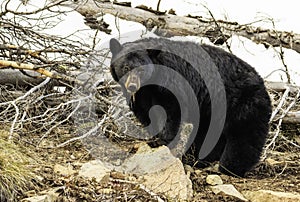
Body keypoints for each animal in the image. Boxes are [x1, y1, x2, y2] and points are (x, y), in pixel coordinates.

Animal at [108, 36, 272, 177]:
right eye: (125, 67)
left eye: (142, 69)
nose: (132, 86)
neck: (151, 84)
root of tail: (262, 83)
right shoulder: (144, 95)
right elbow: (147, 113)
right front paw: (154, 137)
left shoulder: (172, 84)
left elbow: (171, 111)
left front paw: (164, 141)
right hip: (213, 110)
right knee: (210, 133)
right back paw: (202, 158)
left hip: (242, 103)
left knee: (244, 136)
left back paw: (229, 167)